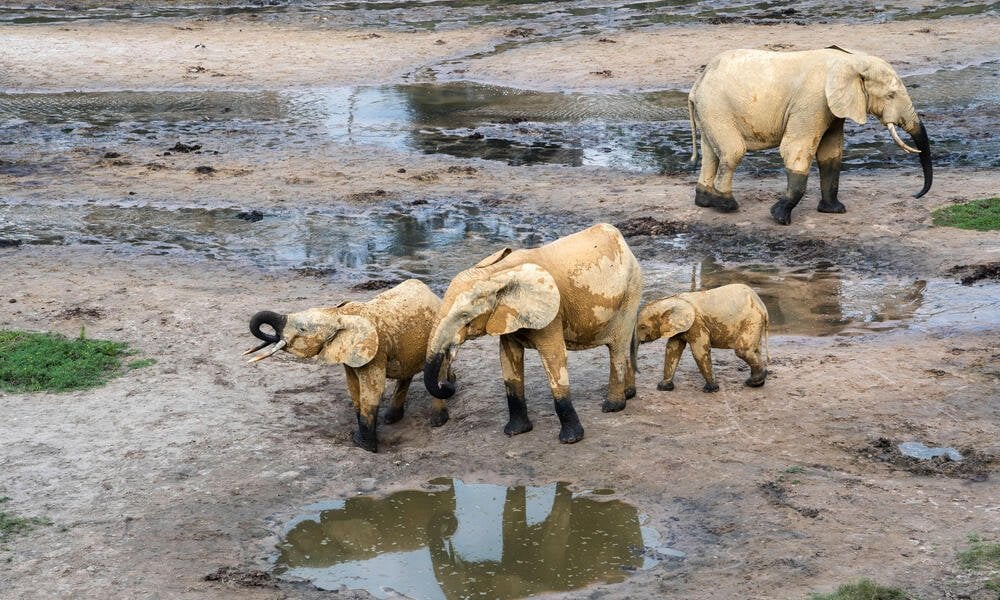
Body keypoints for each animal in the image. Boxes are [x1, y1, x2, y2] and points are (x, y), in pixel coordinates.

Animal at [242, 278, 446, 452]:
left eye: (302, 329)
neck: (339, 314)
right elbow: (354, 389)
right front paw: (360, 440)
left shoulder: (376, 351)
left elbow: (372, 392)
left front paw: (364, 446)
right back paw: (391, 419)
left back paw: (438, 421)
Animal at [420, 223, 640, 442]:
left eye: (464, 315)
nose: (447, 385)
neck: (496, 273)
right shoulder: (508, 314)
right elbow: (508, 358)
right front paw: (515, 432)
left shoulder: (552, 314)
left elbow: (554, 357)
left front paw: (571, 439)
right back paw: (629, 394)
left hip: (631, 292)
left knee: (617, 348)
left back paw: (613, 407)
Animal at [636, 284, 768, 394]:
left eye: (642, 327)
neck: (673, 300)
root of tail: (762, 305)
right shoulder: (679, 326)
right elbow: (673, 349)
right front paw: (663, 387)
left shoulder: (697, 323)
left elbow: (699, 351)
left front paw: (711, 389)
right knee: (754, 350)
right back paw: (758, 382)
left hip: (753, 319)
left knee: (742, 350)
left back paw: (754, 381)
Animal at [684, 46, 932, 225]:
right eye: (891, 95)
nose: (916, 195)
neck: (851, 61)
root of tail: (698, 82)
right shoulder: (812, 102)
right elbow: (796, 150)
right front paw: (779, 217)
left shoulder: (831, 108)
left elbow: (830, 153)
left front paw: (834, 211)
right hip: (716, 107)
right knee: (732, 152)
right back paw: (728, 206)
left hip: (709, 110)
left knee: (710, 153)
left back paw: (705, 201)